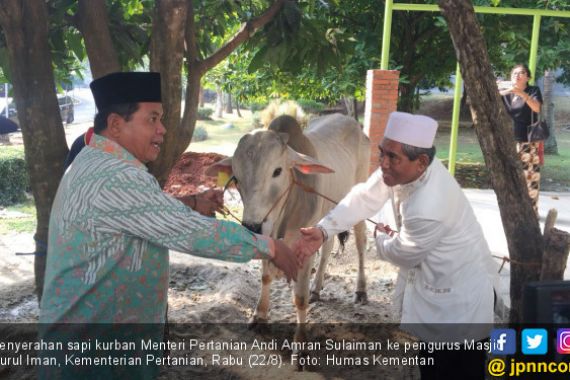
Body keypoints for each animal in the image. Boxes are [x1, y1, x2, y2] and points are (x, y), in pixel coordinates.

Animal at [206, 112, 370, 338]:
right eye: (236, 179)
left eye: (277, 171)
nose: (253, 227)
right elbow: (266, 276)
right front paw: (260, 316)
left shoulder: (305, 246)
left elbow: (300, 298)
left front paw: (300, 341)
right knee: (327, 248)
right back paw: (316, 288)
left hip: (358, 206)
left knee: (361, 245)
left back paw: (361, 290)